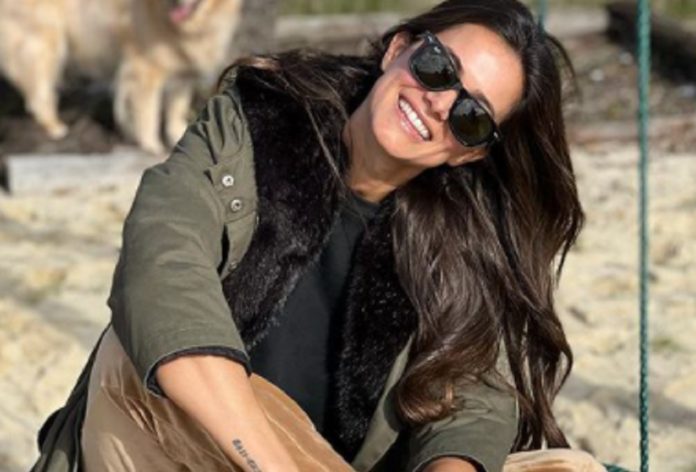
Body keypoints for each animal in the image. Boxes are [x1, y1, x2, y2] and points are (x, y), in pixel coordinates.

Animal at [0, 0, 244, 155]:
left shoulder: (179, 69)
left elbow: (176, 109)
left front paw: (180, 136)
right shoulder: (144, 67)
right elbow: (147, 113)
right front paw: (151, 146)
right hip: (45, 42)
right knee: (39, 93)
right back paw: (55, 128)